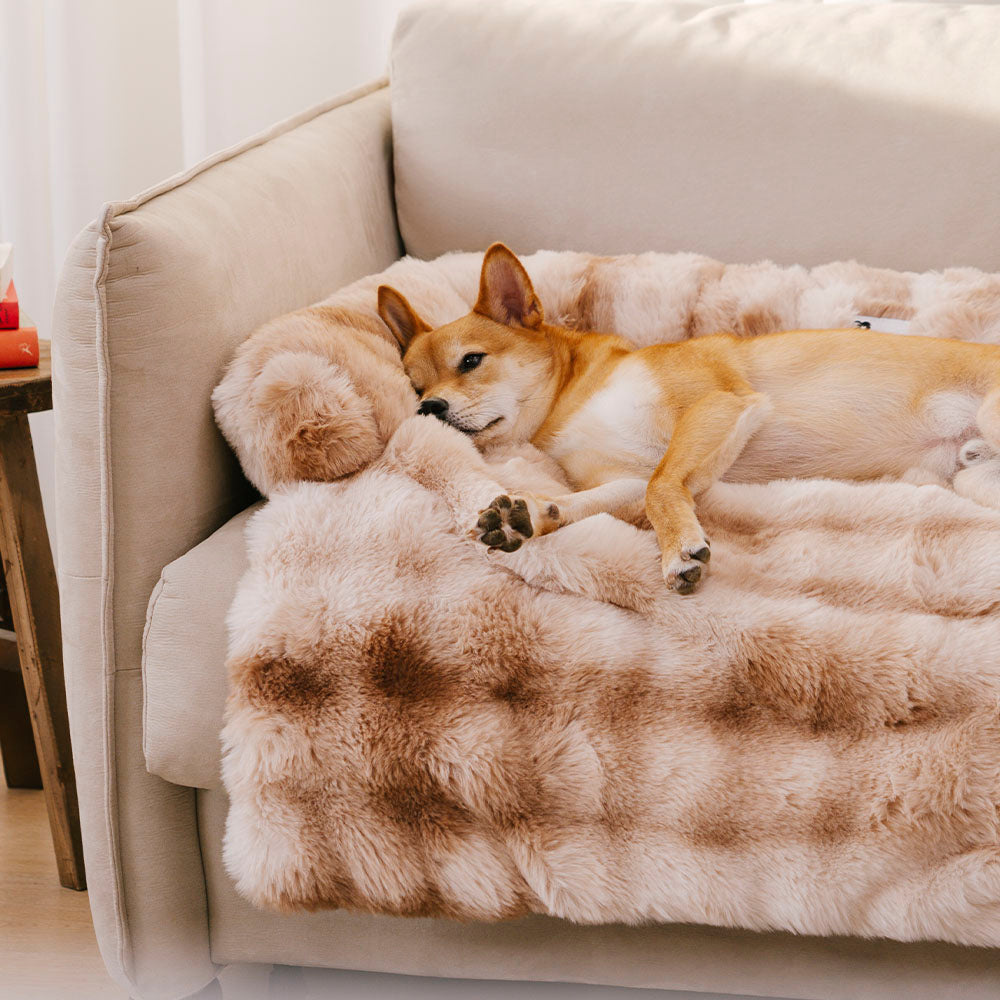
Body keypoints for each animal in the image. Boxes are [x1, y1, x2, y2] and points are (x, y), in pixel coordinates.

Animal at [376, 245, 1000, 588]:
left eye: (471, 362)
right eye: (416, 386)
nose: (429, 408)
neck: (573, 397)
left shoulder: (716, 405)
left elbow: (663, 485)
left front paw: (679, 547)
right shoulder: (622, 479)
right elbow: (598, 500)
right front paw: (527, 514)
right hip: (970, 480)